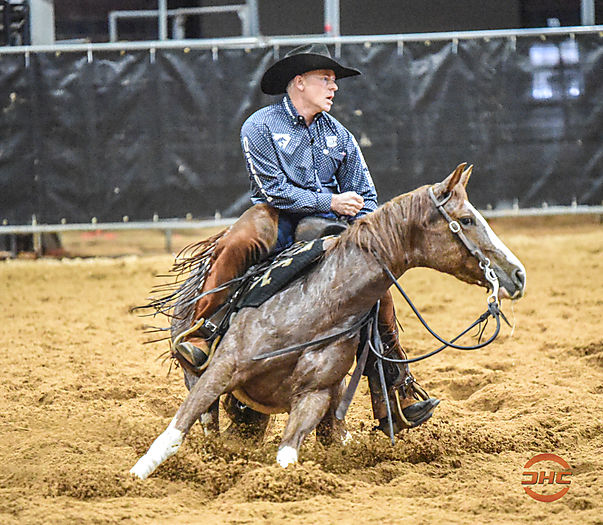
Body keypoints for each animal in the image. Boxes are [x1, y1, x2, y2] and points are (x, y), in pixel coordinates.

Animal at [130, 163, 526, 480]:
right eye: (467, 220)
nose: (518, 274)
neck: (319, 304)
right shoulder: (223, 368)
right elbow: (174, 432)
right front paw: (134, 476)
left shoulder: (316, 395)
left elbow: (288, 453)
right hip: (195, 369)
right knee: (209, 421)